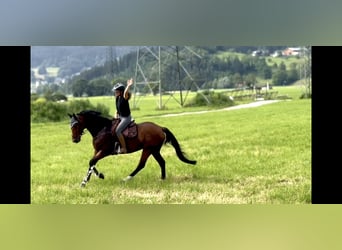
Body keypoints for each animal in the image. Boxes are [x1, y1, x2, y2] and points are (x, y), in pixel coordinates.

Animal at [68, 110, 196, 187]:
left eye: (76, 125)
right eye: (70, 125)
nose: (74, 140)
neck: (102, 129)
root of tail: (160, 128)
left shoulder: (105, 151)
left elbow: (92, 162)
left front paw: (90, 179)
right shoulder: (97, 151)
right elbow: (92, 163)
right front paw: (88, 180)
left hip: (148, 149)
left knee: (141, 165)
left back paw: (126, 179)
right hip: (154, 150)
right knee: (162, 162)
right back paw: (162, 179)